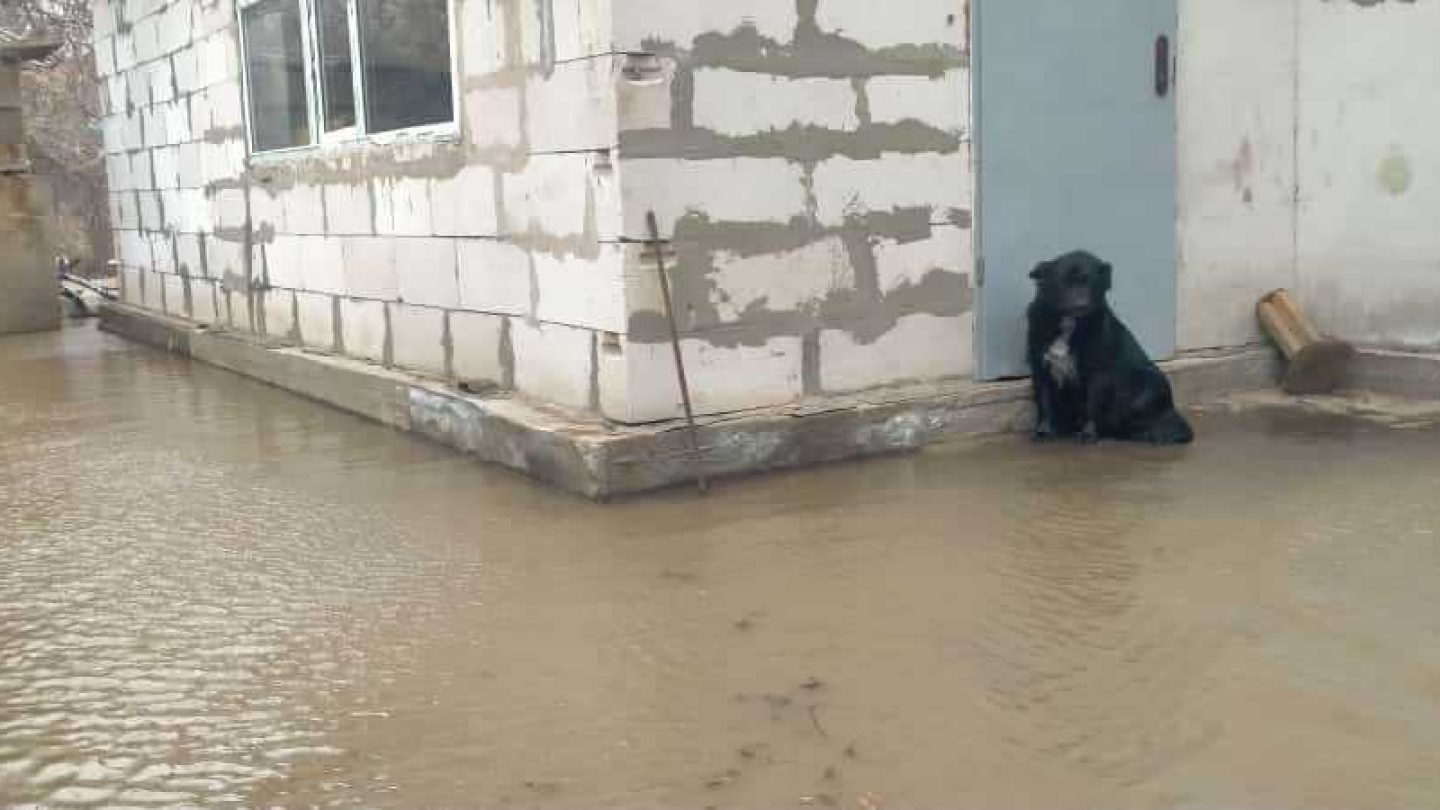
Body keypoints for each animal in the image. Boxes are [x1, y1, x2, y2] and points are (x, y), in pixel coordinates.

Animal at [1031, 249, 1198, 443]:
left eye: (1091, 282)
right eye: (1063, 282)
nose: (1082, 305)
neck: (1070, 323)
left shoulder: (1098, 373)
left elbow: (1092, 404)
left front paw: (1089, 434)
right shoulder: (1041, 369)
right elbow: (1045, 404)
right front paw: (1044, 431)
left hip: (1148, 385)